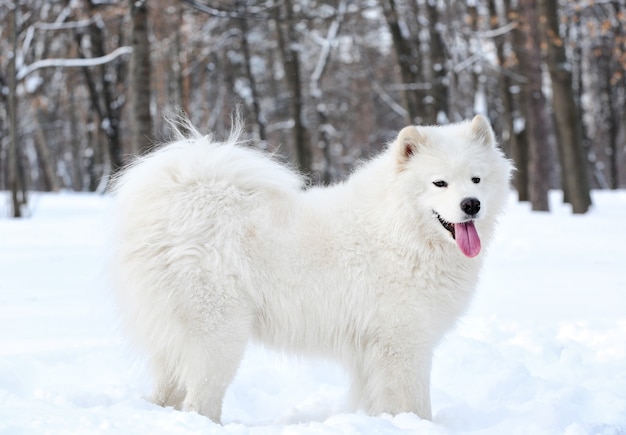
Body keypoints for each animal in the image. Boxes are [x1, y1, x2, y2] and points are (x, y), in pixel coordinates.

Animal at [111, 115, 512, 422]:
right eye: (439, 183)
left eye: (476, 179)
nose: (471, 204)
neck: (399, 230)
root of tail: (176, 202)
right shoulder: (403, 344)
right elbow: (415, 406)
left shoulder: (372, 352)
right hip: (219, 338)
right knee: (198, 404)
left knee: (167, 397)